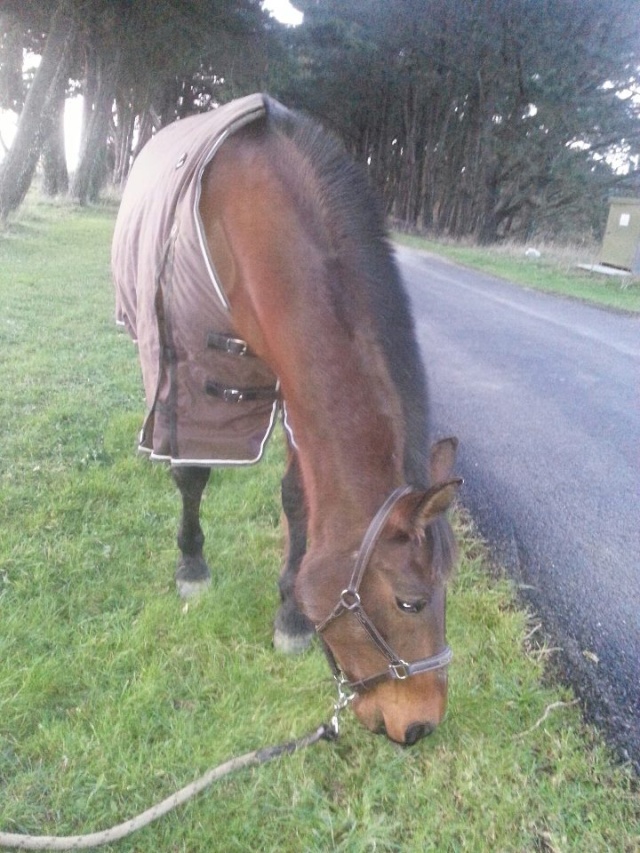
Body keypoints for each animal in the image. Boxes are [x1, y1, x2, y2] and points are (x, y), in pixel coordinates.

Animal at [114, 95, 460, 744]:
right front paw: (192, 566)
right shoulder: (194, 373)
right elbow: (192, 474)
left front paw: (292, 616)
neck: (260, 229)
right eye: (410, 602)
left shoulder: (293, 388)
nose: (421, 725)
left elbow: (299, 500)